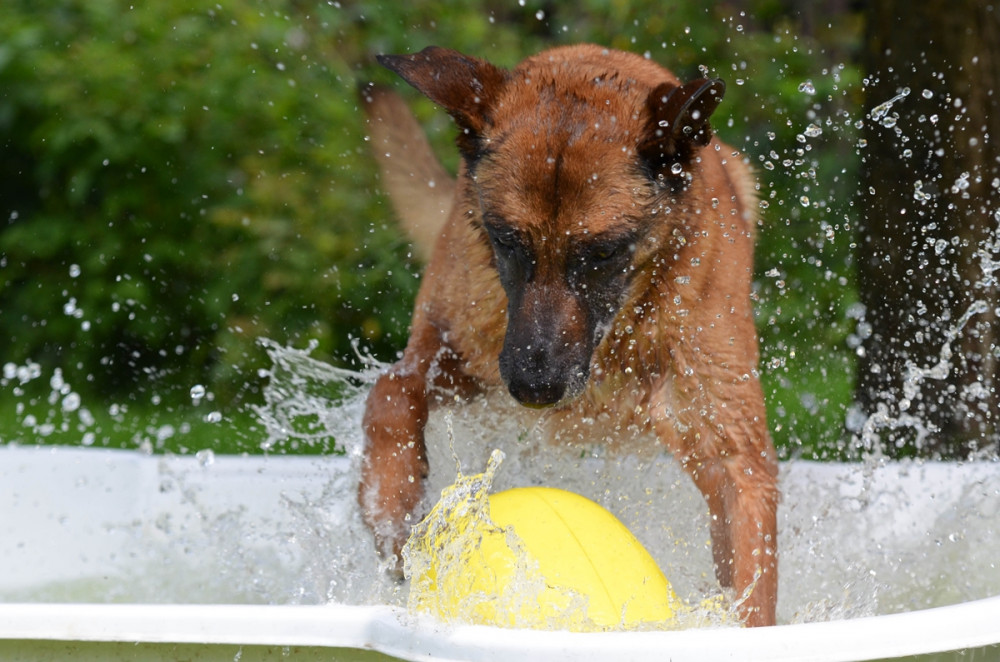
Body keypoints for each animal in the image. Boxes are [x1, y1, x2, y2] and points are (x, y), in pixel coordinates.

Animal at [360, 42, 780, 628]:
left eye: (602, 253)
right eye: (507, 241)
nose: (535, 389)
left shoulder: (733, 452)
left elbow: (750, 572)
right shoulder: (459, 352)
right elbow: (391, 392)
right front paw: (392, 506)